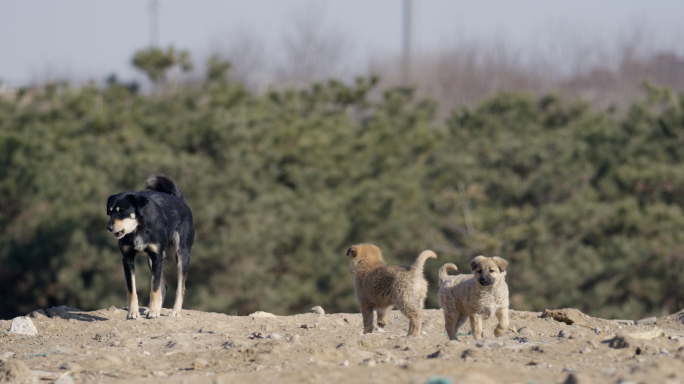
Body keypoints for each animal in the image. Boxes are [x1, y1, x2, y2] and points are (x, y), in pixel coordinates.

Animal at [105, 174, 195, 318]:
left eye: (122, 212)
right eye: (110, 212)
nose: (109, 228)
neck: (138, 228)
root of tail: (179, 199)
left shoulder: (157, 256)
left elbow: (154, 287)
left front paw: (153, 311)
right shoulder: (128, 259)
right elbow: (132, 289)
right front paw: (133, 312)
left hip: (182, 255)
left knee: (180, 286)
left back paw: (175, 311)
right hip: (152, 260)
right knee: (164, 285)